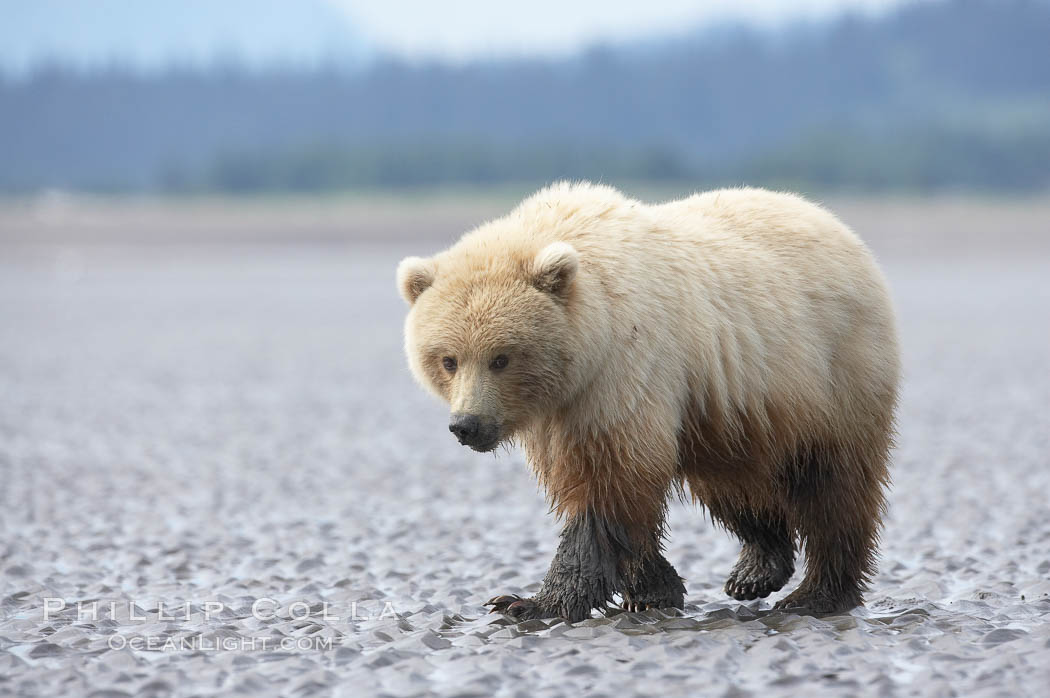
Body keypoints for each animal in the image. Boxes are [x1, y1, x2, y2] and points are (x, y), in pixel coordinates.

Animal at [396, 180, 898, 621]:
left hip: (829, 375)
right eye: (448, 359)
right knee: (733, 484)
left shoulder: (624, 373)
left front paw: (529, 602)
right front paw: (655, 587)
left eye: (501, 357)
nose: (468, 425)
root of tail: (836, 225)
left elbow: (607, 484)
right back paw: (756, 569)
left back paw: (817, 594)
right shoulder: (559, 413)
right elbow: (614, 490)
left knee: (834, 486)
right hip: (730, 408)